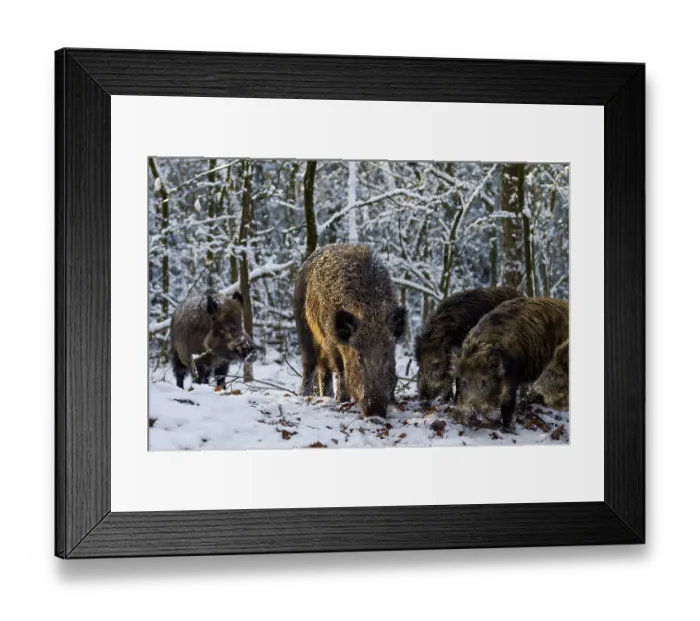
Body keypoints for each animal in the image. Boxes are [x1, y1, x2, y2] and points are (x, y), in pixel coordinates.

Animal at [293, 243, 407, 419]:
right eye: (359, 356)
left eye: (387, 354)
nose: (375, 412)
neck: (370, 313)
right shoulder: (331, 341)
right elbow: (341, 370)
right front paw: (342, 400)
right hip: (304, 327)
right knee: (310, 364)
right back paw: (305, 395)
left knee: (324, 371)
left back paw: (326, 397)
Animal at [453, 297, 569, 431]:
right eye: (464, 382)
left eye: (484, 382)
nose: (471, 414)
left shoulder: (513, 374)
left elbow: (507, 403)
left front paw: (508, 427)